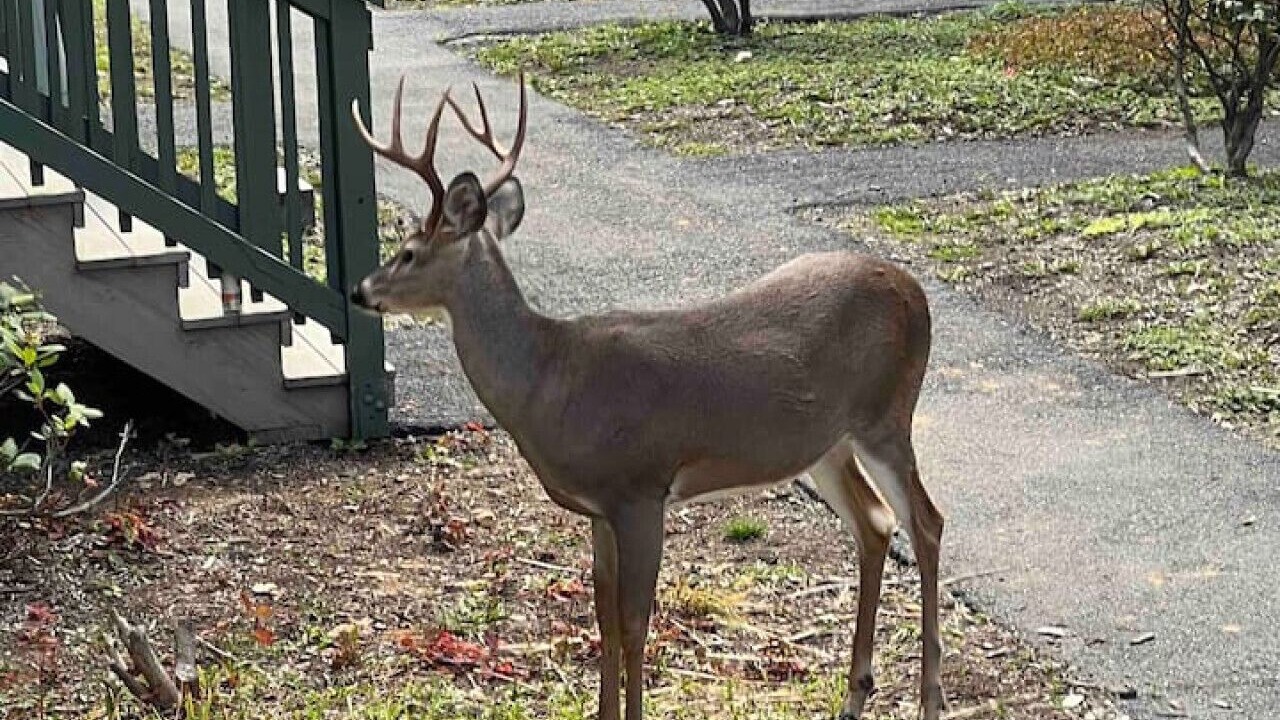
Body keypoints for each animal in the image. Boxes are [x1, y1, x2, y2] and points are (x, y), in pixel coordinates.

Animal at [349, 76, 947, 720]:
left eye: (408, 252)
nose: (360, 290)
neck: (549, 380)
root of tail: (915, 291)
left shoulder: (641, 487)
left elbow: (635, 621)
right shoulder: (599, 506)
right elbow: (604, 618)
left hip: (887, 414)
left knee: (926, 522)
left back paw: (930, 697)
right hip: (827, 443)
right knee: (876, 522)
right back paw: (856, 693)